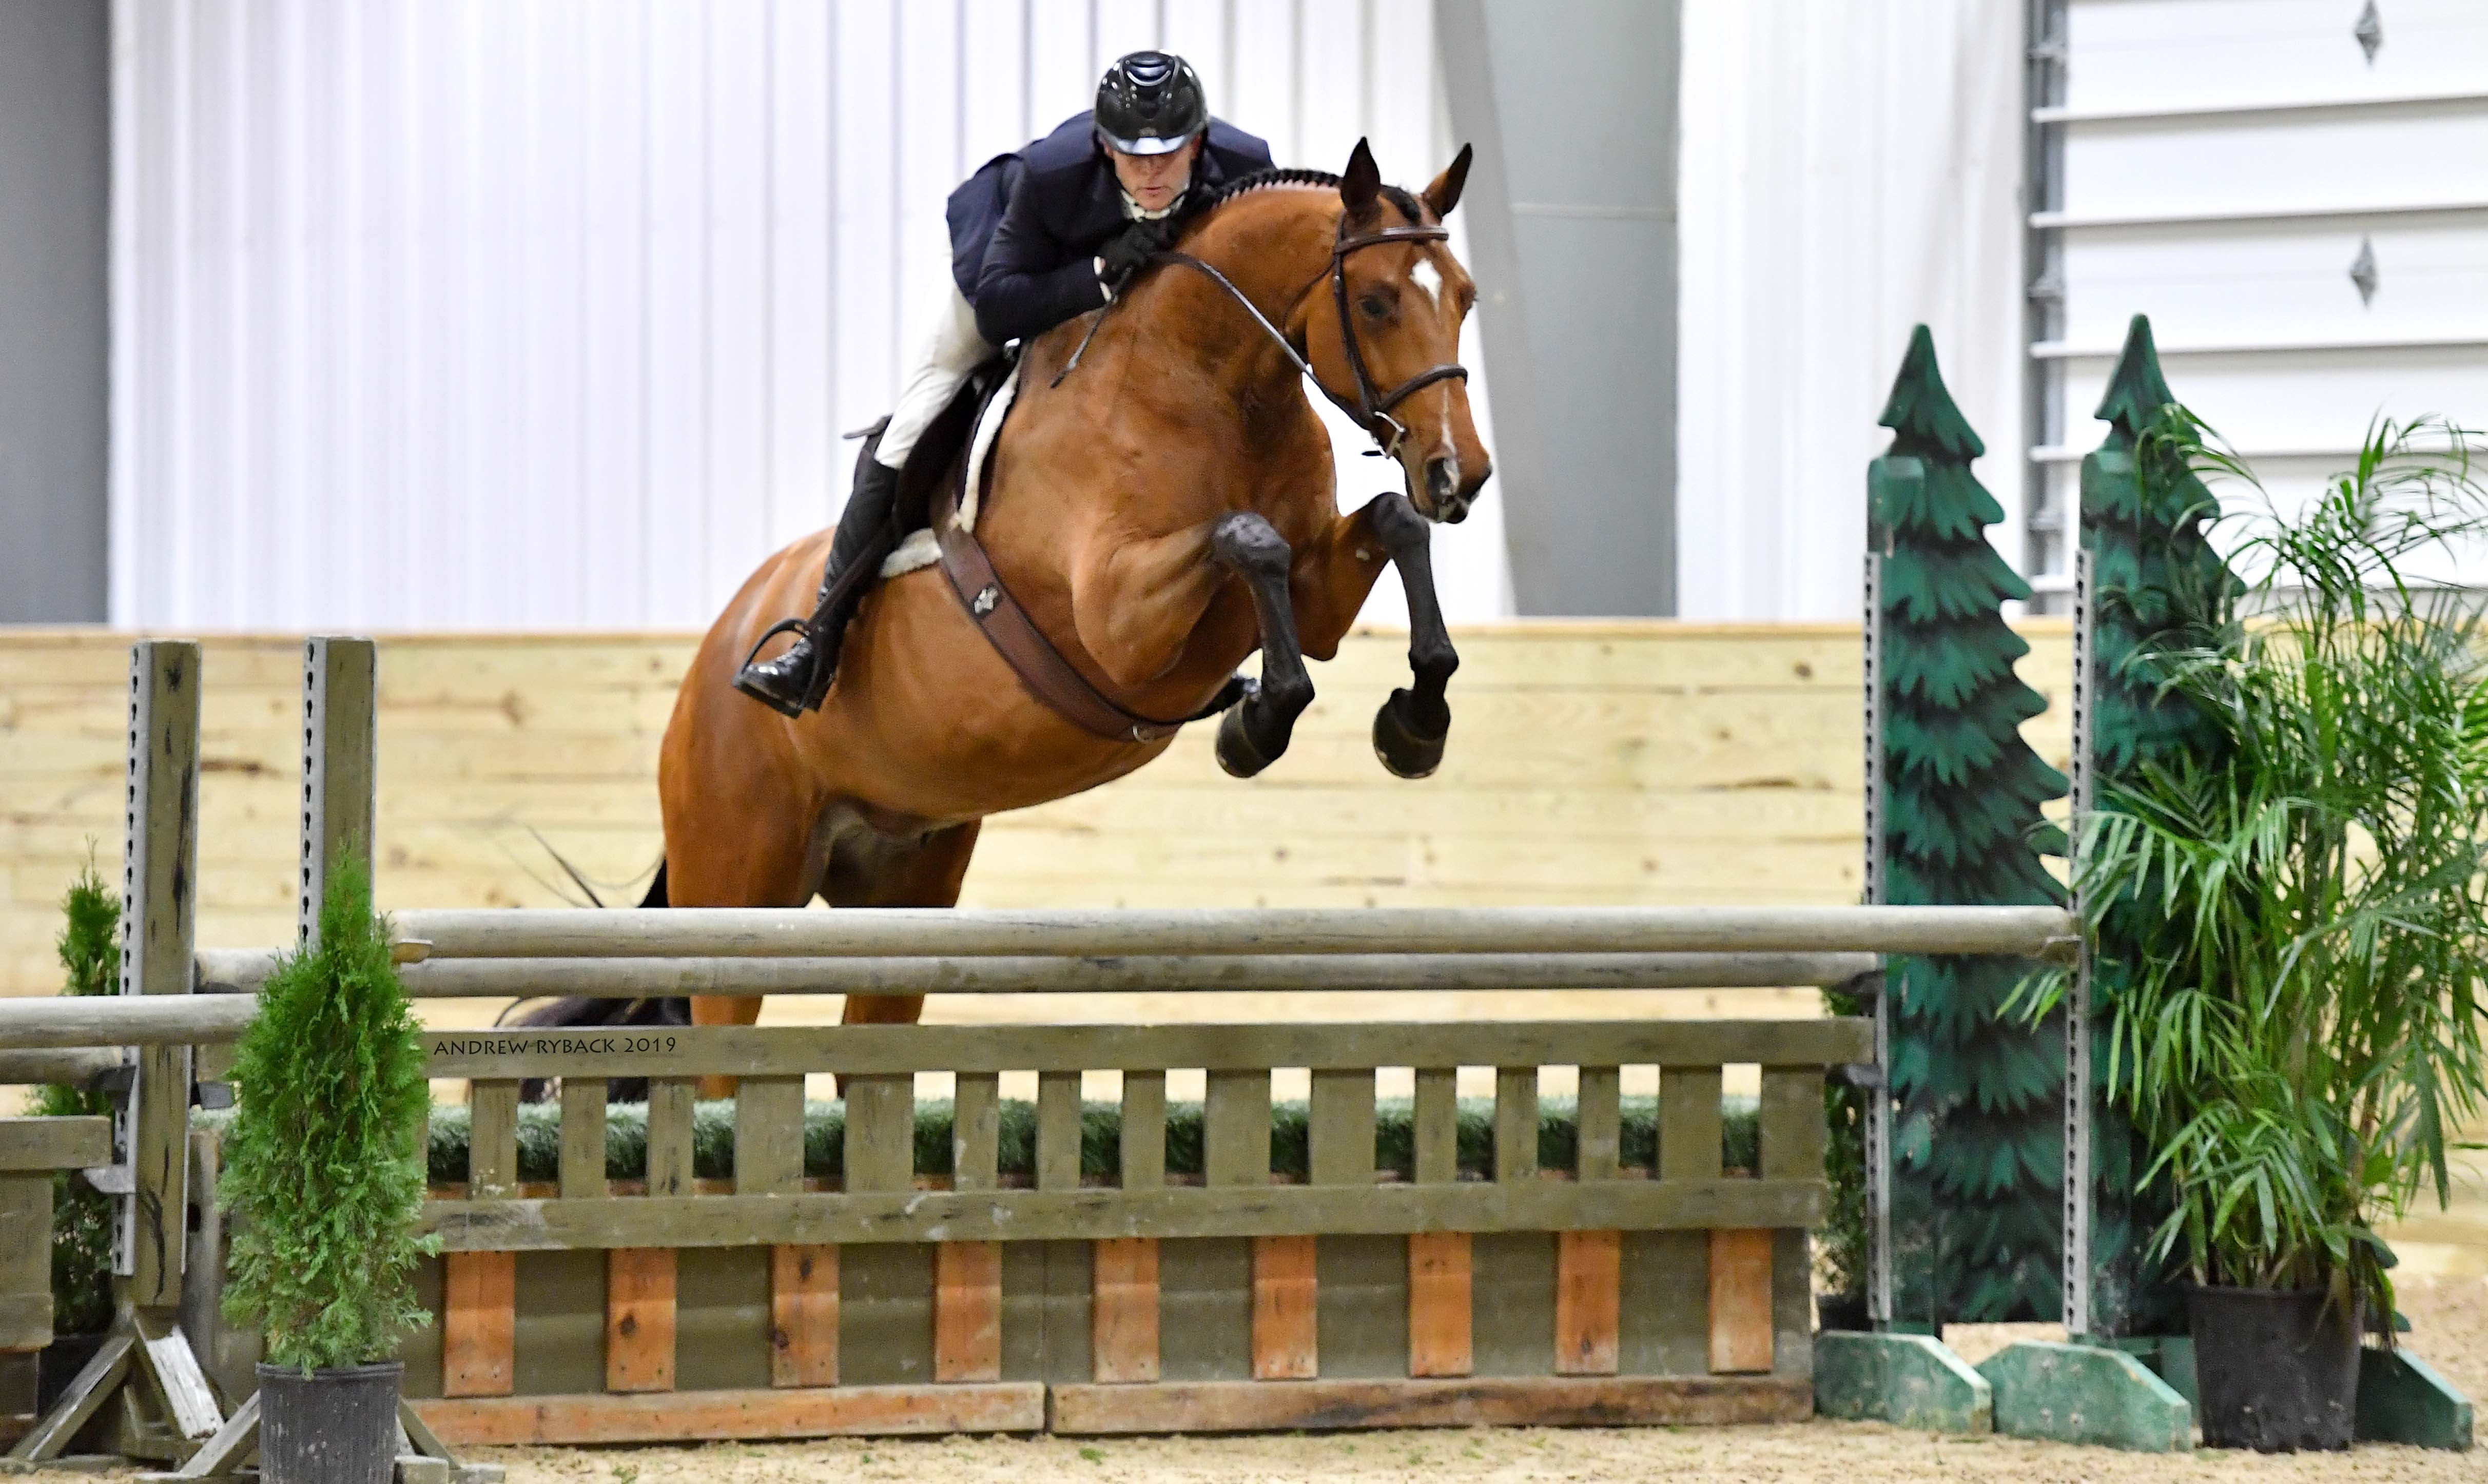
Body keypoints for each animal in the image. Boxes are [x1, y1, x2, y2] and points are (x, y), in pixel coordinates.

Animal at [652, 142, 1483, 1079]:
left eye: (1464, 297)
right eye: (1375, 301)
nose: (1461, 472)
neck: (1214, 379)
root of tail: (711, 659)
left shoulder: (1316, 605)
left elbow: (1391, 520)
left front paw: (1414, 723)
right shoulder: (1120, 622)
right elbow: (1247, 537)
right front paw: (1259, 723)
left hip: (900, 886)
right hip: (735, 889)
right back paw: (793, 666)